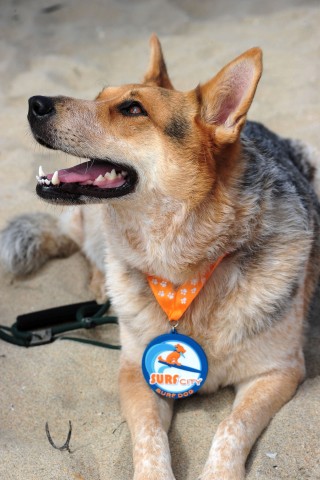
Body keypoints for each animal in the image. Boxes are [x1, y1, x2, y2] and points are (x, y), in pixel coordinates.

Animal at [0, 35, 320, 478]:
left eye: (133, 109)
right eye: (99, 95)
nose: (35, 103)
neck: (184, 267)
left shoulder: (278, 372)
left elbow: (231, 427)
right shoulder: (135, 372)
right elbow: (150, 438)